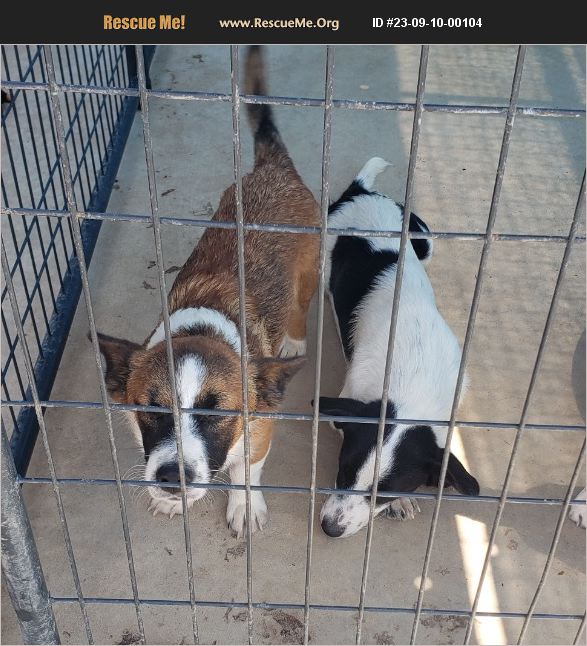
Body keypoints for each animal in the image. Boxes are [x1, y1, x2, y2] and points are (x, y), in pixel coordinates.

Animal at [95, 46, 320, 537]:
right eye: (153, 409)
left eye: (216, 414)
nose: (170, 478)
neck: (204, 325)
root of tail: (273, 169)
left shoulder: (259, 431)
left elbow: (246, 471)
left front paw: (244, 505)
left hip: (311, 272)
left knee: (300, 305)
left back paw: (295, 338)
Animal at [317, 157, 480, 538]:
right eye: (343, 471)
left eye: (385, 492)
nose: (329, 529)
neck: (414, 380)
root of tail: (361, 192)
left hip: (426, 239)